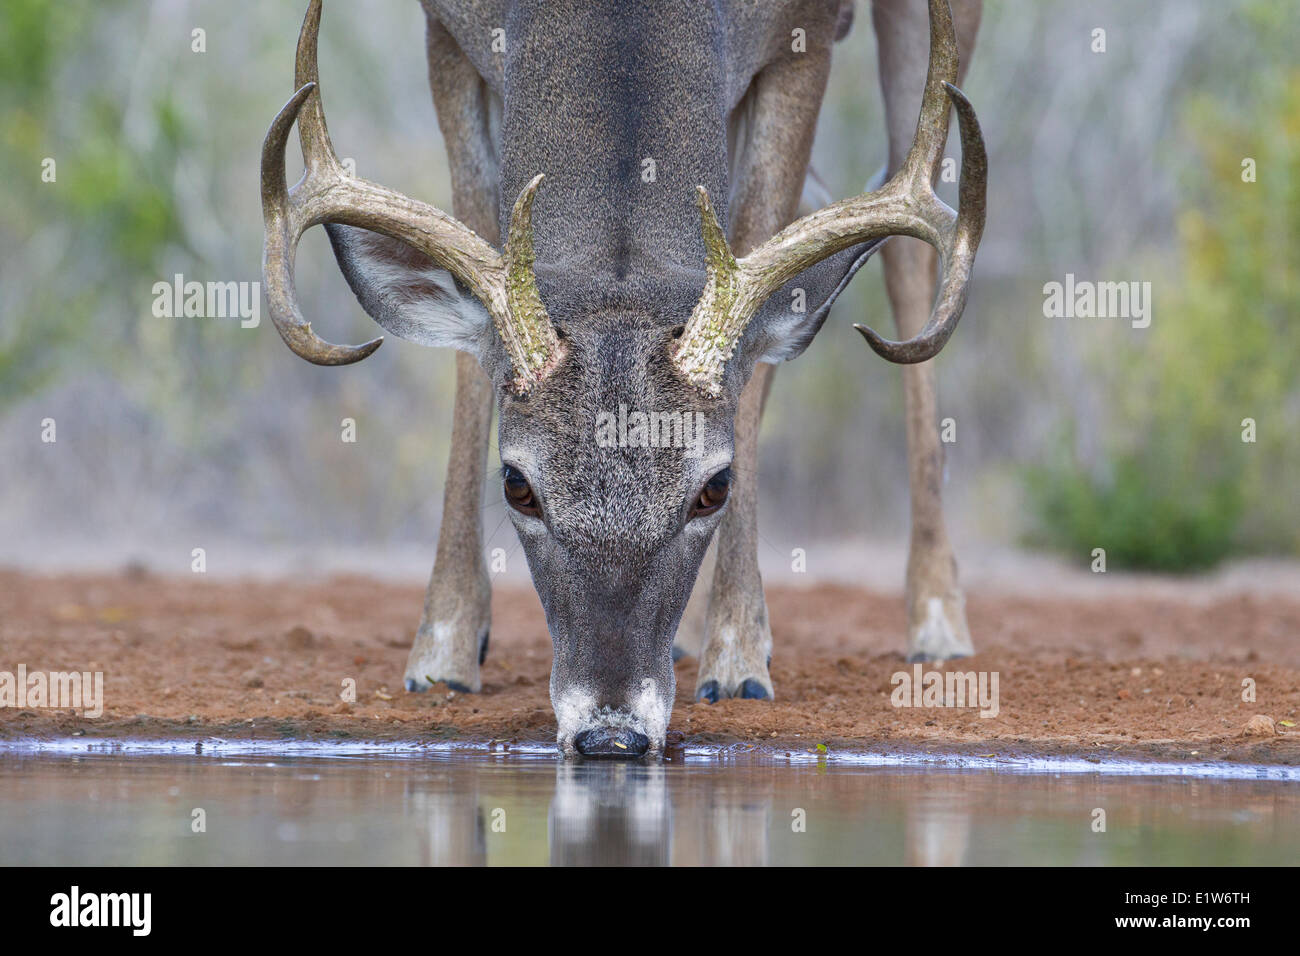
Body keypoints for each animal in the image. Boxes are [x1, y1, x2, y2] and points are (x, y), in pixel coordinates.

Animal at [261, 0, 982, 759]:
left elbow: (757, 301)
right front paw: (443, 653)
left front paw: (740, 660)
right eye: (516, 485)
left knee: (908, 244)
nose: (611, 732)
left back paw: (937, 625)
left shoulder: (806, 36)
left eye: (715, 485)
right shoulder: (447, 34)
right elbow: (471, 308)